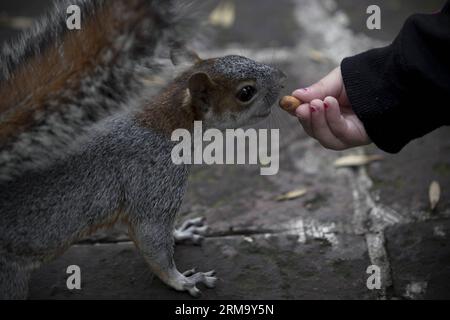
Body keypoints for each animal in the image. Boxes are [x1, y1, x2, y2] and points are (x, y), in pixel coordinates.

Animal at [0, 0, 284, 300]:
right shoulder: (154, 182)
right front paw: (182, 280)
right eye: (246, 92)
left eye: (237, 56)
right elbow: (152, 237)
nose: (283, 78)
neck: (168, 121)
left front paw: (182, 232)